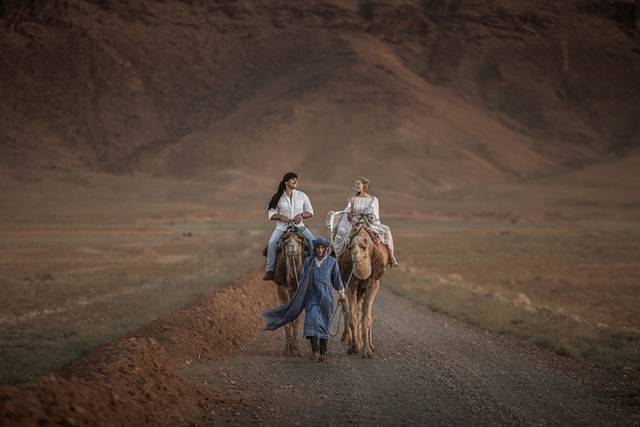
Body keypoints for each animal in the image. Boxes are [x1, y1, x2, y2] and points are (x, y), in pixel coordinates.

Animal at [338, 224, 388, 358]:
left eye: (363, 247)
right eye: (350, 247)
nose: (355, 254)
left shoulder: (374, 284)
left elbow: (366, 318)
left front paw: (367, 351)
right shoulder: (350, 285)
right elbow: (353, 316)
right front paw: (354, 347)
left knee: (367, 314)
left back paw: (370, 345)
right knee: (350, 311)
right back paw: (349, 339)